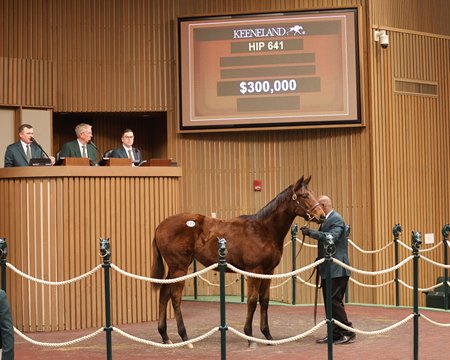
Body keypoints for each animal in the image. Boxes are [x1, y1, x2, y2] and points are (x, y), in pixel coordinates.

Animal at [150, 176, 324, 348]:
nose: (322, 216)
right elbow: (252, 300)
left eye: (312, 194)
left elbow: (264, 300)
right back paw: (185, 337)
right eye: (304, 196)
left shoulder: (268, 271)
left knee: (164, 293)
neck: (263, 230)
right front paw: (249, 337)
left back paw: (165, 336)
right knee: (175, 296)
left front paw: (267, 335)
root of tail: (159, 227)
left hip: (173, 269)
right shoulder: (254, 271)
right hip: (179, 267)